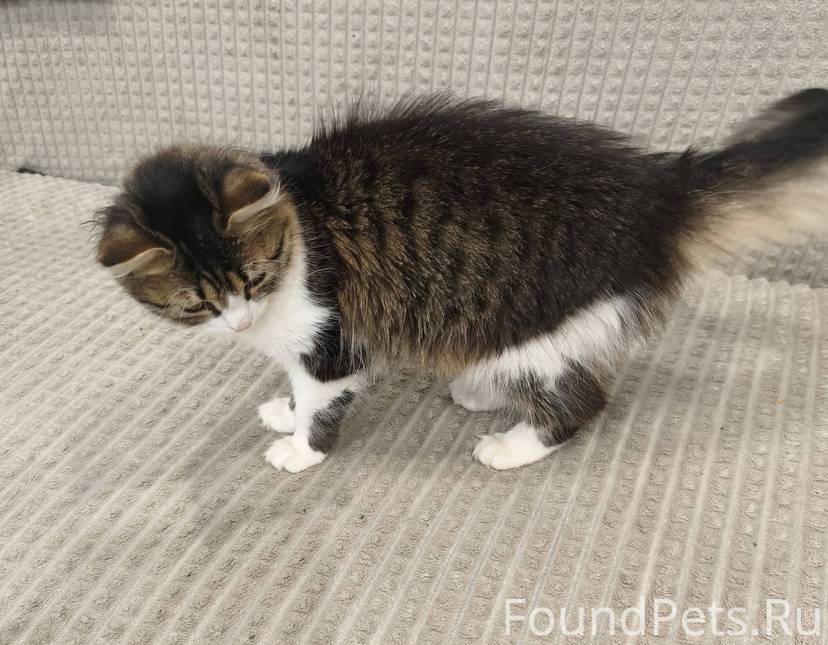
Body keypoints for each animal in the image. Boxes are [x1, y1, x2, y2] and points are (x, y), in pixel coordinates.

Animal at [95, 90, 828, 472]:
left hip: (545, 318)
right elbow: (297, 389)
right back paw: (478, 389)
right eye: (198, 305)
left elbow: (321, 403)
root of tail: (657, 190)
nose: (240, 319)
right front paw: (285, 407)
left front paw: (300, 448)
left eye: (253, 277)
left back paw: (511, 445)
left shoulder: (331, 336)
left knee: (583, 399)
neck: (298, 224)